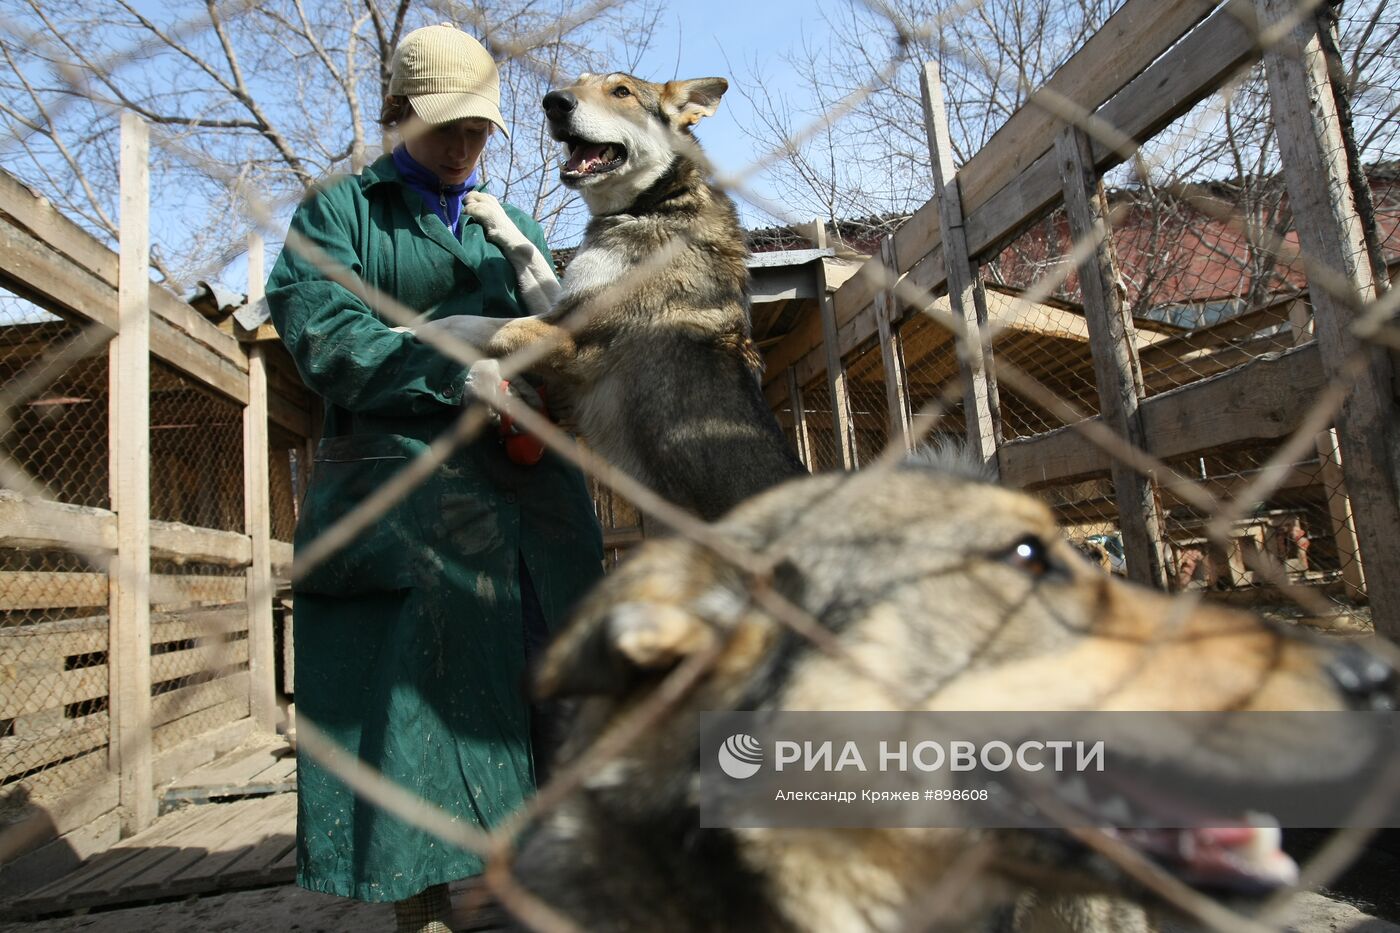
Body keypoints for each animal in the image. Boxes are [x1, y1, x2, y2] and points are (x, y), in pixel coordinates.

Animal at [411, 72, 812, 518]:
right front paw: (491, 212)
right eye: (577, 83)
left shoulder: (565, 335)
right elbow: (529, 254)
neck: (650, 205)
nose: (554, 101)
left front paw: (399, 329)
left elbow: (461, 323)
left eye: (621, 92)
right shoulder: (563, 303)